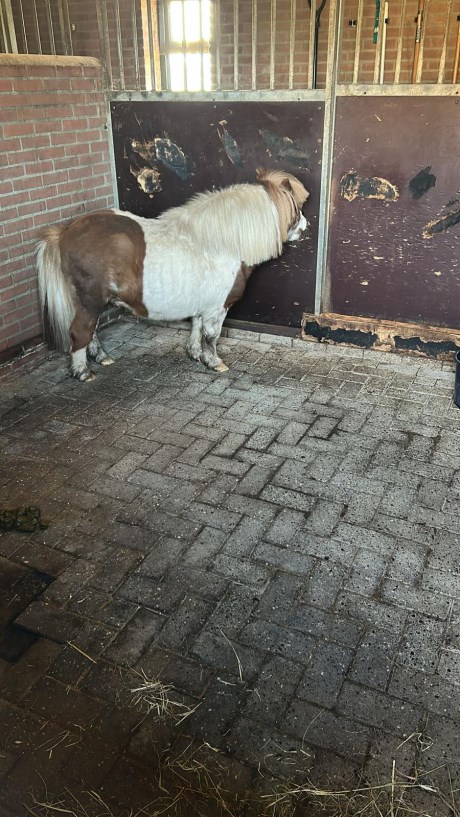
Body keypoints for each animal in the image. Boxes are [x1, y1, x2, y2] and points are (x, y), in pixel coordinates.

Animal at [36, 168, 309, 382]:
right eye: (296, 208)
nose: (305, 226)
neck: (223, 243)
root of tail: (65, 231)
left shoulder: (203, 304)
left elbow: (196, 328)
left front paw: (195, 354)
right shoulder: (217, 308)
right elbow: (212, 336)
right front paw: (214, 362)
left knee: (90, 332)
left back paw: (102, 358)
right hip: (90, 302)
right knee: (80, 332)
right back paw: (83, 372)